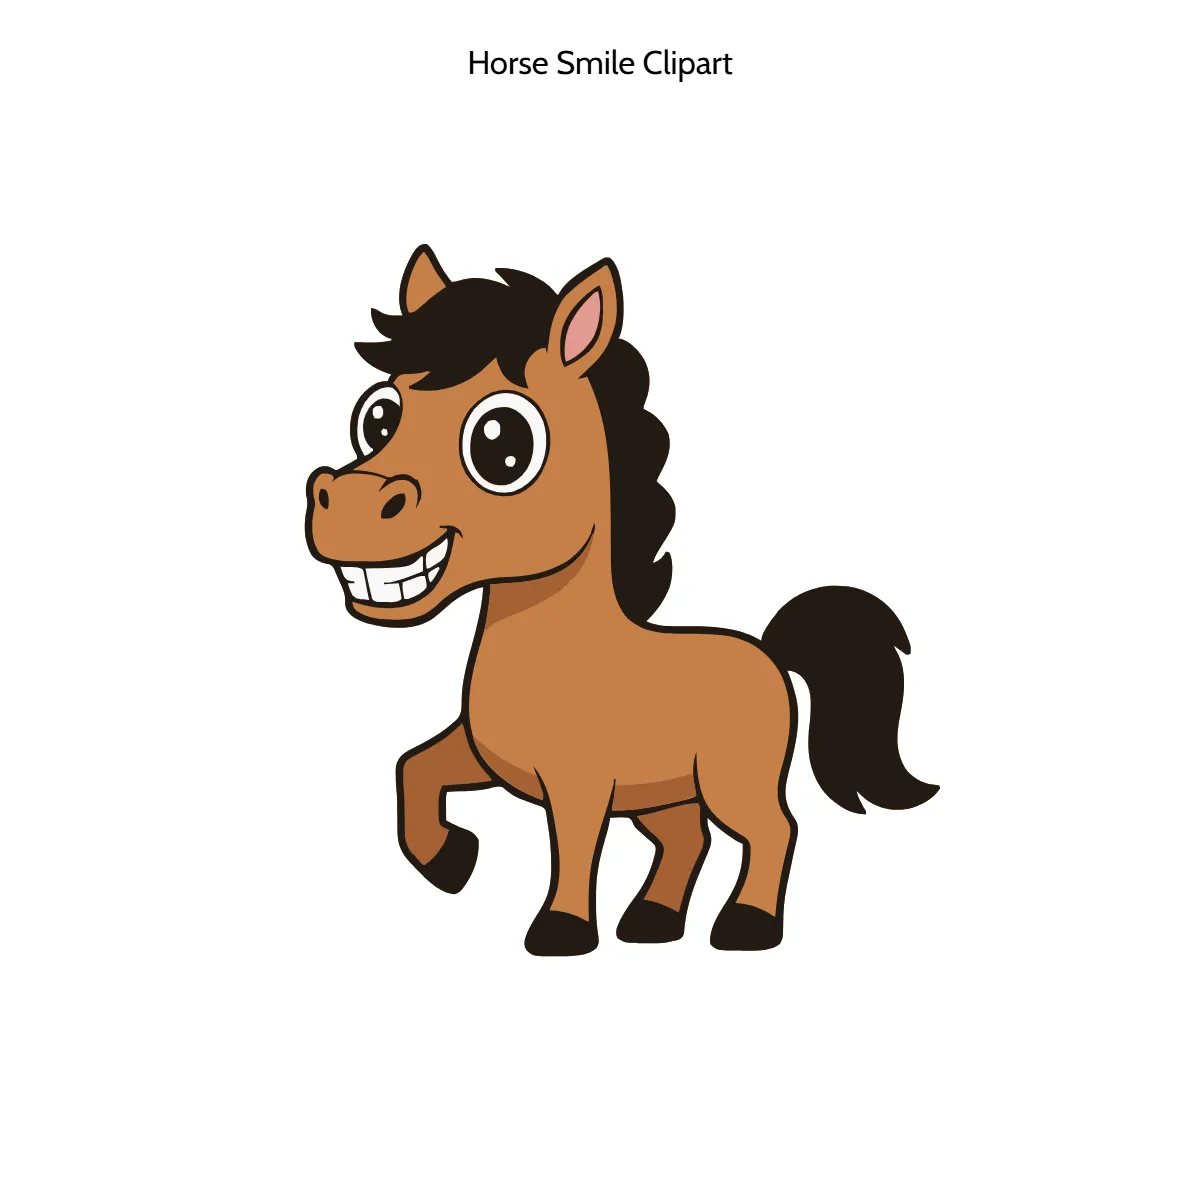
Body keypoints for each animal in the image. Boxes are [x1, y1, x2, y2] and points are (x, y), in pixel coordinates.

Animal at [305, 246, 938, 955]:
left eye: (502, 443)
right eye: (377, 417)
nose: (348, 503)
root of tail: (771, 653)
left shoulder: (579, 784)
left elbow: (576, 849)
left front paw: (561, 930)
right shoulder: (480, 753)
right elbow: (412, 767)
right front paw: (449, 860)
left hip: (732, 781)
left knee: (774, 830)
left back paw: (747, 924)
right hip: (666, 793)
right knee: (688, 838)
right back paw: (653, 921)